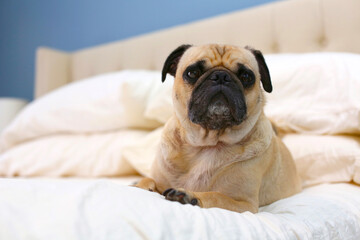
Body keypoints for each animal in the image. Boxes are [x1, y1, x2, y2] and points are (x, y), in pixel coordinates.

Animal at [135, 44, 300, 213]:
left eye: (246, 77)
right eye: (192, 73)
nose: (221, 76)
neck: (207, 143)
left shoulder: (244, 204)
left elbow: (215, 196)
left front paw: (190, 196)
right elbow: (148, 180)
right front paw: (140, 185)